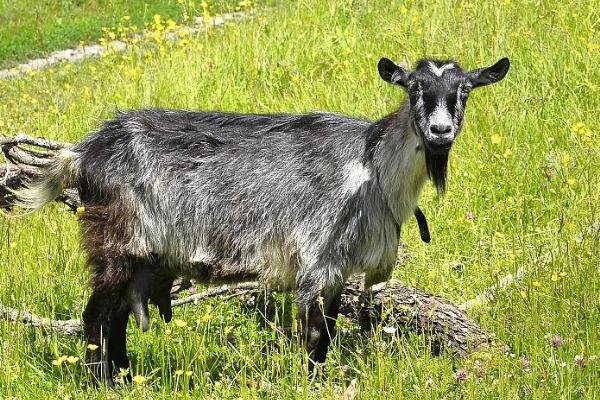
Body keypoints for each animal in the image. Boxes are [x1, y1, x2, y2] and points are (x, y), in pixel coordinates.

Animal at [10, 55, 506, 384]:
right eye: (414, 89)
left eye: (464, 90)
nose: (440, 132)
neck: (372, 168)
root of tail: (82, 153)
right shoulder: (318, 259)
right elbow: (315, 334)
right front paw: (313, 383)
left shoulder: (341, 268)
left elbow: (327, 330)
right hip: (115, 239)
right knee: (96, 316)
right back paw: (103, 383)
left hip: (142, 256)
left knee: (116, 318)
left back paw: (129, 379)